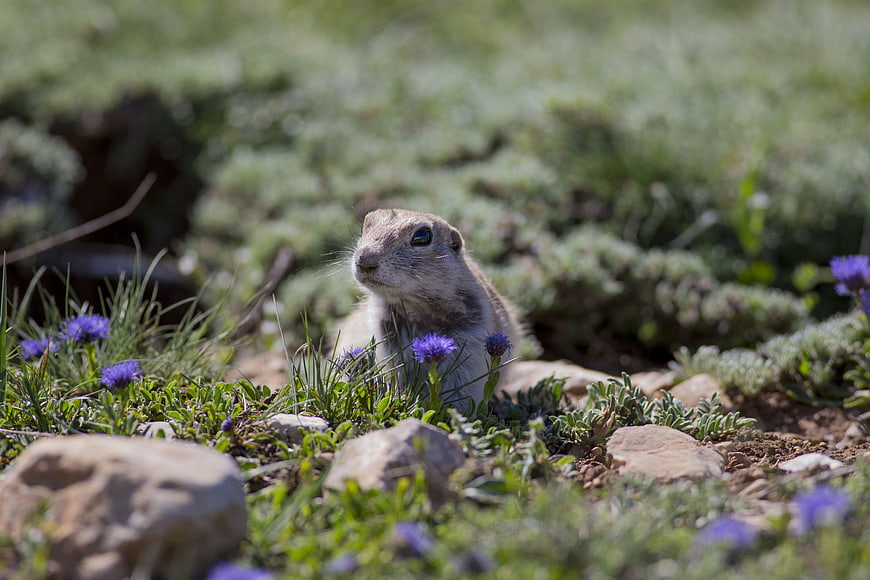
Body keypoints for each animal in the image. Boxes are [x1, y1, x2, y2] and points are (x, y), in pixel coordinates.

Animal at [334, 208, 522, 410]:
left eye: (422, 236)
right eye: (365, 226)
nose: (364, 259)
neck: (415, 305)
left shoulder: (471, 346)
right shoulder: (388, 342)